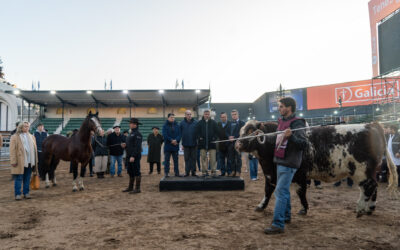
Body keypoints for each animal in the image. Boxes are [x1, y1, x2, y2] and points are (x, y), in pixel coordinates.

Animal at [236, 119, 398, 217]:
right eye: (241, 131)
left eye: (250, 131)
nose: (237, 144)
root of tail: (372, 125)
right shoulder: (271, 174)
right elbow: (268, 190)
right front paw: (261, 206)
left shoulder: (299, 174)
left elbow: (300, 191)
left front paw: (304, 209)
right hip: (370, 171)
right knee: (373, 186)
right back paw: (370, 209)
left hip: (361, 170)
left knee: (368, 187)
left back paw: (360, 209)